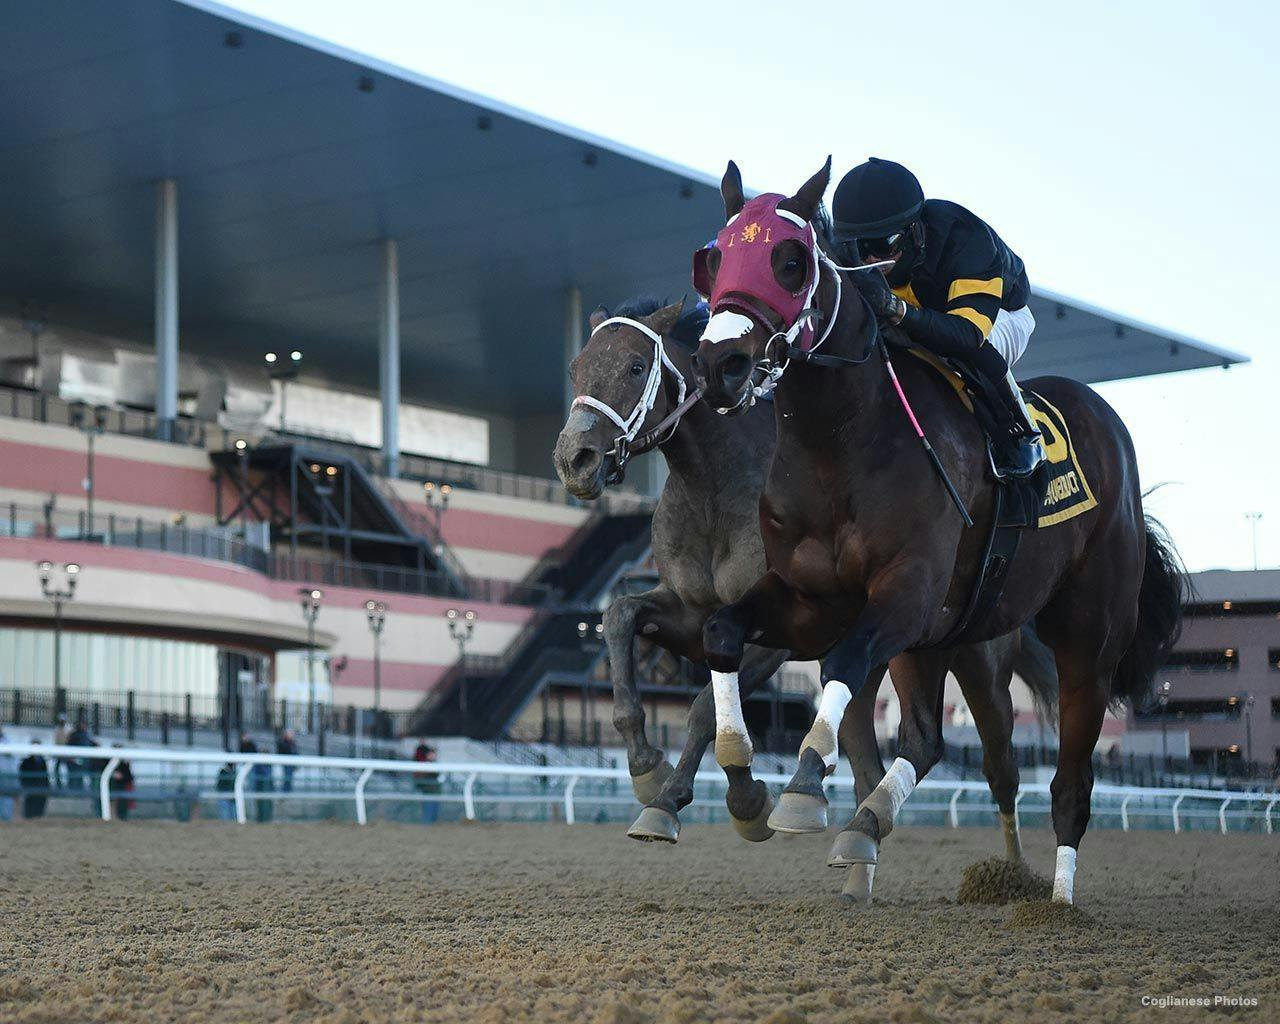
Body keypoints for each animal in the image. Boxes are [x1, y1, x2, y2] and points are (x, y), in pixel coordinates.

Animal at [550, 295, 1059, 896]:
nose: (575, 459)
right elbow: (620, 616)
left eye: (633, 367)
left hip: (978, 660)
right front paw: (647, 768)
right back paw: (856, 864)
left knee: (1002, 767)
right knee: (865, 757)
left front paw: (735, 802)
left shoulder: (781, 635)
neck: (714, 485)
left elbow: (704, 708)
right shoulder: (693, 609)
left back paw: (1014, 874)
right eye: (575, 368)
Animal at [691, 160, 1177, 906]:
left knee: (1068, 779)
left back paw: (1058, 902)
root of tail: (1108, 425)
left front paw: (802, 788)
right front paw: (745, 785)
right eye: (715, 259)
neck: (837, 443)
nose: (722, 366)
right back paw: (868, 830)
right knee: (929, 741)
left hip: (1085, 641)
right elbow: (721, 631)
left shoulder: (907, 591)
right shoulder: (810, 599)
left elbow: (840, 666)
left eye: (792, 261)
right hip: (945, 639)